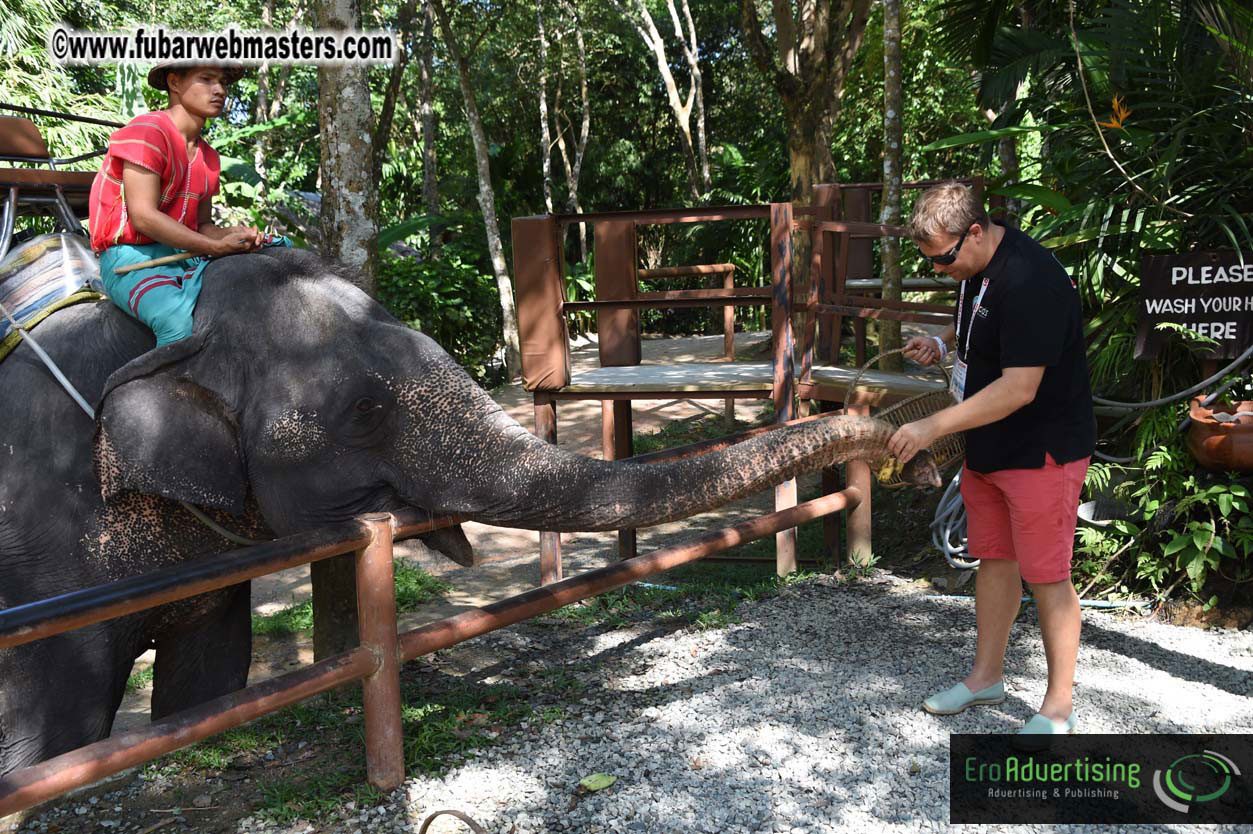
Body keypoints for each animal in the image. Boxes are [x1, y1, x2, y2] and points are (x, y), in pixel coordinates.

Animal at [0, 246, 939, 775]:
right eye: (366, 412)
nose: (912, 456)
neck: (159, 334)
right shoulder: (44, 554)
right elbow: (56, 733)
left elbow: (209, 682)